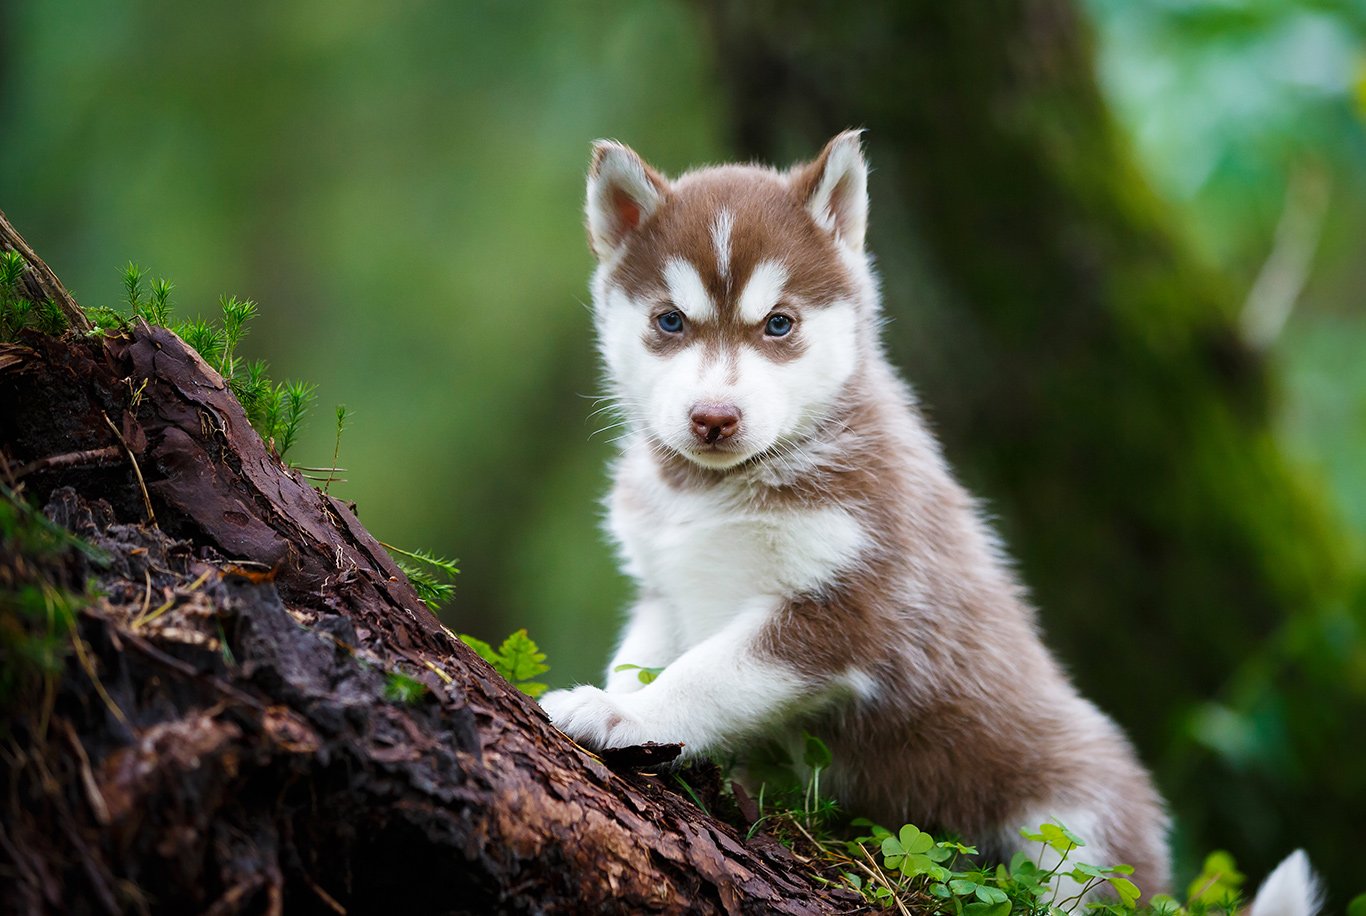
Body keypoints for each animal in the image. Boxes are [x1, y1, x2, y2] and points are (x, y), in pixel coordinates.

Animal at [538, 134, 1169, 895]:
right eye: (669, 321)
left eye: (779, 324)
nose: (714, 418)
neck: (714, 493)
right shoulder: (665, 587)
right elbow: (643, 658)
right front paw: (619, 696)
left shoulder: (846, 608)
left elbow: (703, 674)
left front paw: (623, 713)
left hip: (1077, 820)